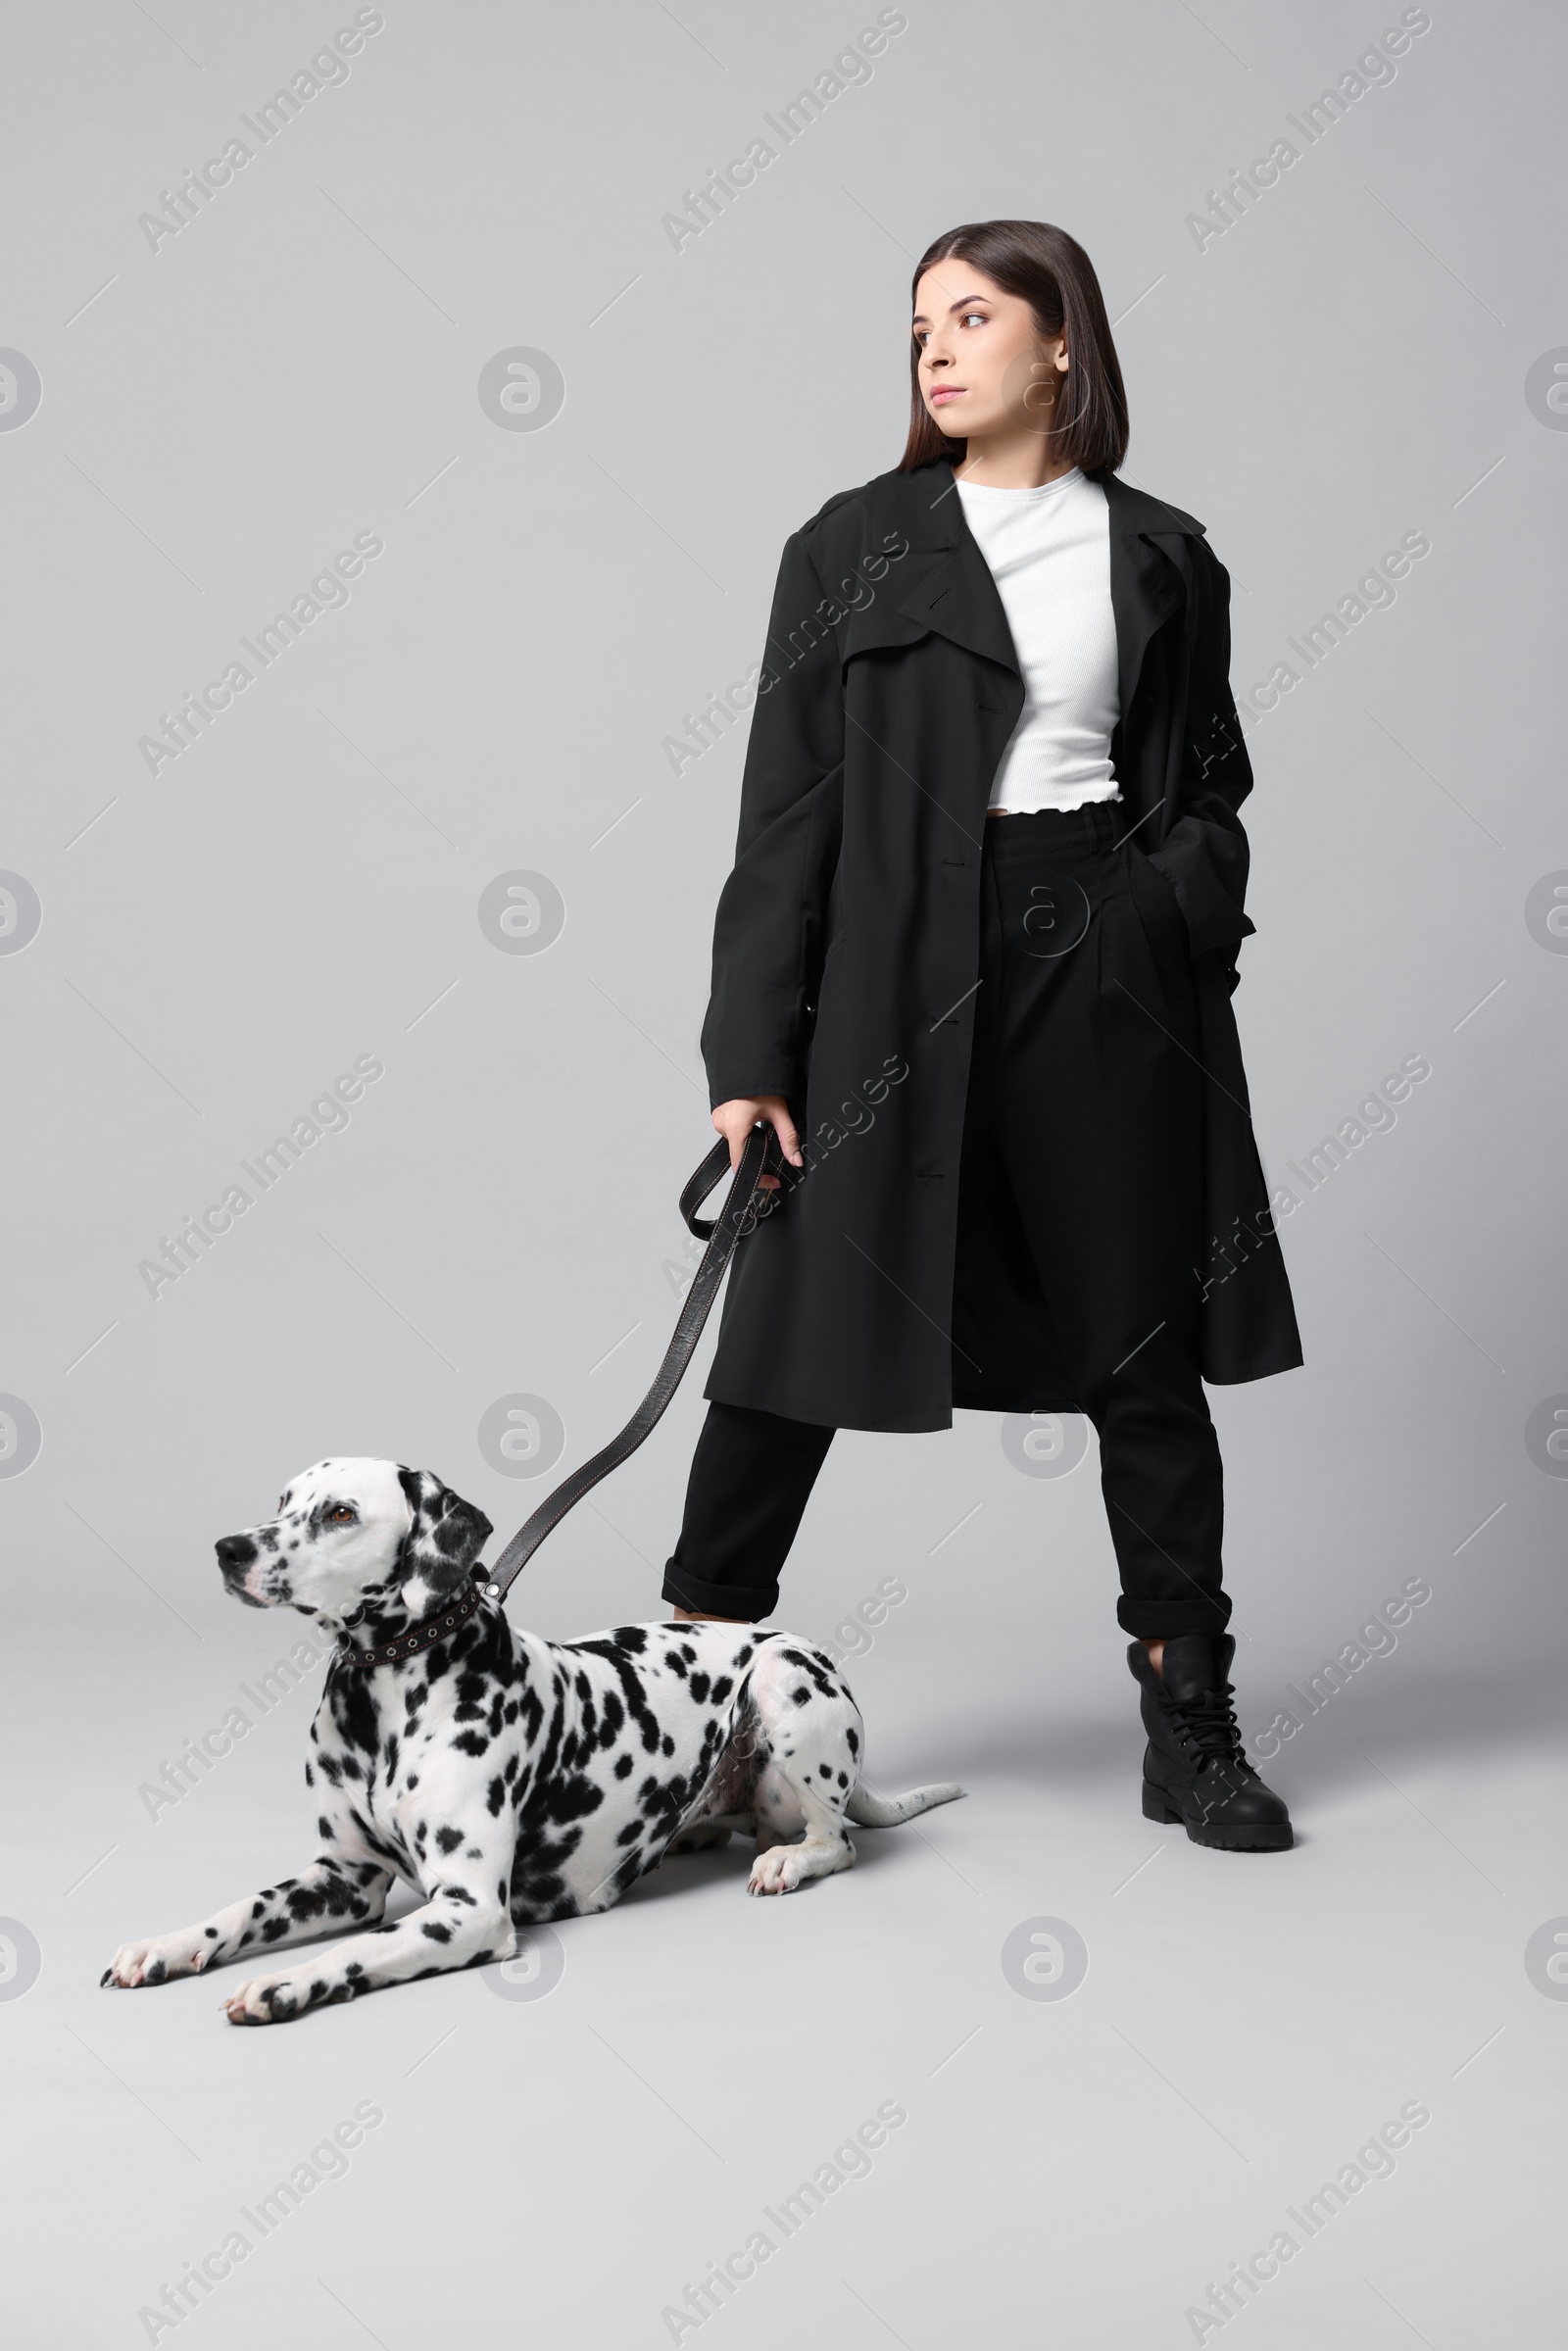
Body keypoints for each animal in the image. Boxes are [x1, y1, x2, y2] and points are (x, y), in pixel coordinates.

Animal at [104, 1447, 963, 2022]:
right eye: (282, 1499)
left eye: (339, 1512)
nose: (228, 1549)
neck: (382, 1698)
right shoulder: (342, 1877)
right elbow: (242, 1907)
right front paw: (167, 1943)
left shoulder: (469, 1907)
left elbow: (356, 1950)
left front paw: (286, 1981)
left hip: (785, 1680)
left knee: (836, 1840)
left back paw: (789, 1859)